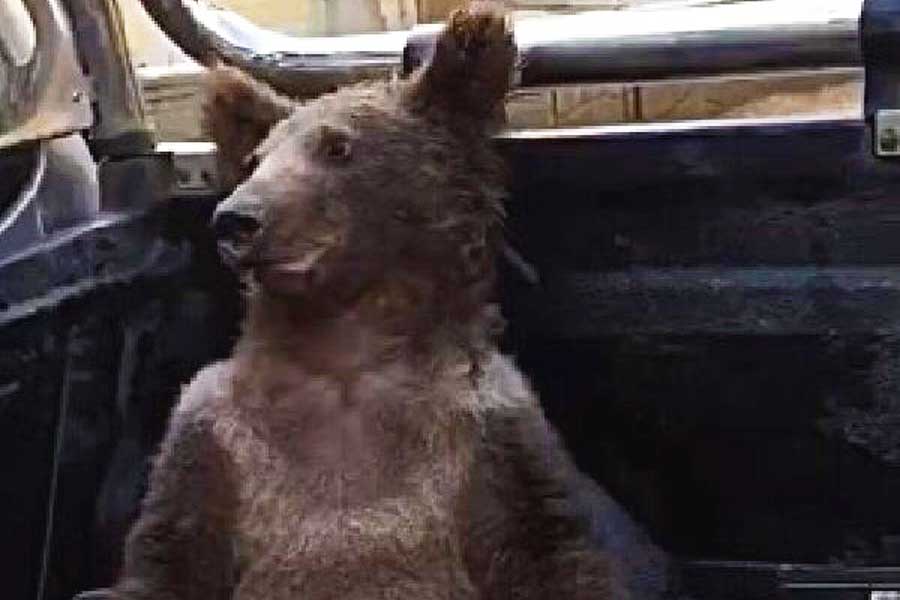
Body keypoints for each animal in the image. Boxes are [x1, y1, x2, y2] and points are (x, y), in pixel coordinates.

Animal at [106, 7, 669, 600]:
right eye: (258, 158)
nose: (236, 219)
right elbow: (166, 556)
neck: (346, 352)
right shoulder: (213, 435)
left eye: (337, 146)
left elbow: (552, 549)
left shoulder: (489, 437)